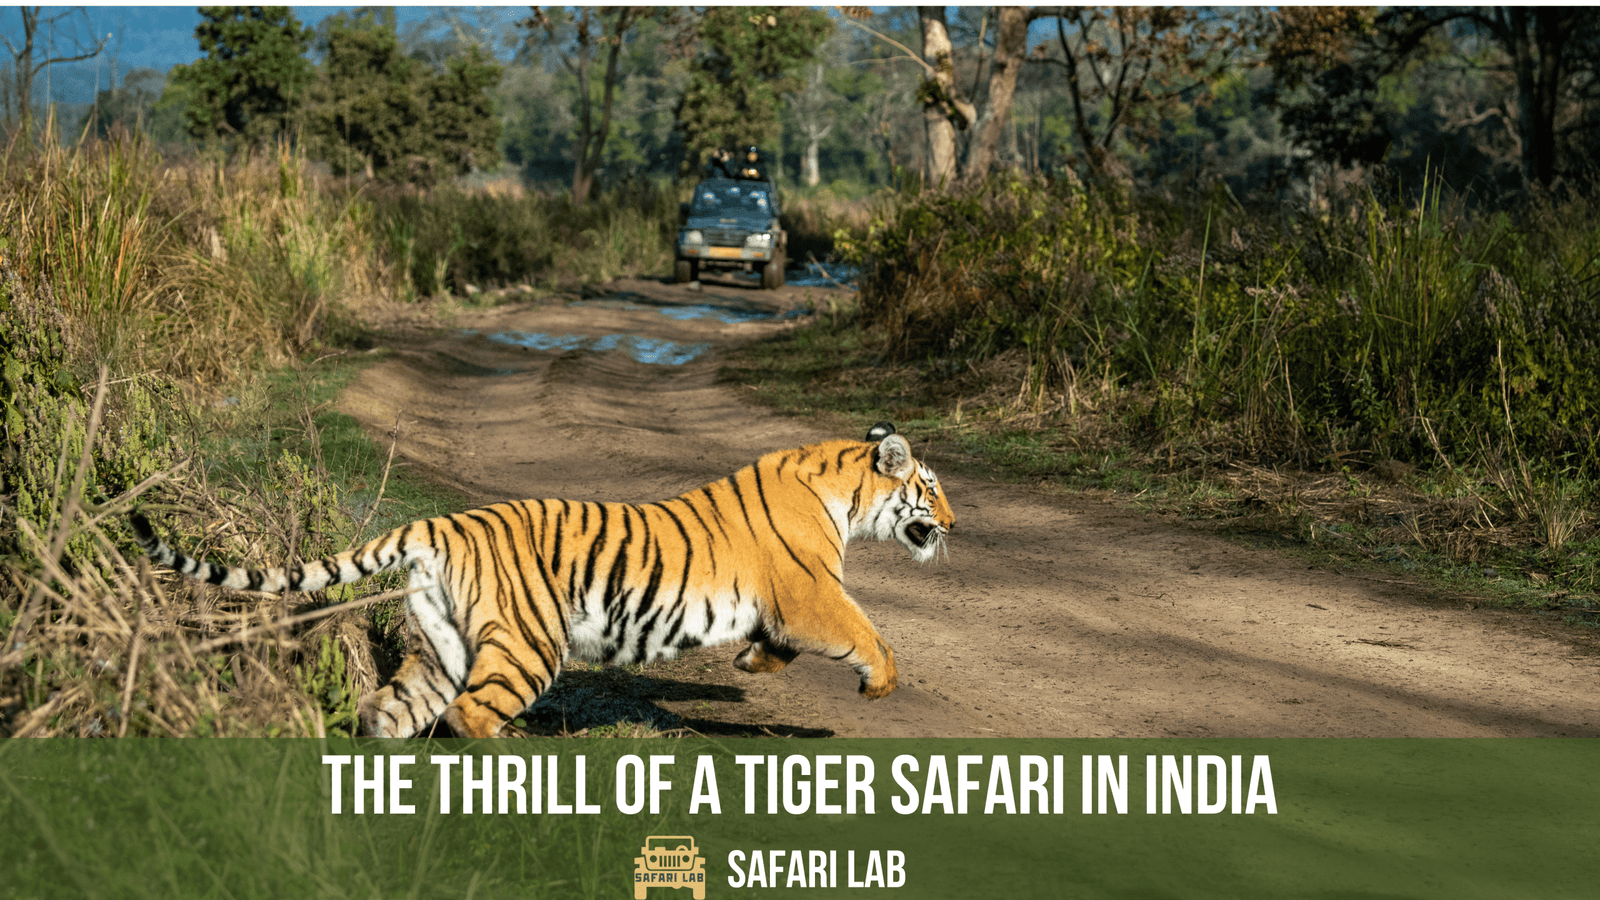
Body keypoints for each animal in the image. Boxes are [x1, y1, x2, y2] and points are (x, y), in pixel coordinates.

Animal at [130, 422, 954, 738]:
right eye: (931, 488)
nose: (952, 523)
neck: (846, 490)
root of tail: (439, 525)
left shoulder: (785, 606)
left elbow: (779, 644)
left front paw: (753, 663)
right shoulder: (811, 591)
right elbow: (866, 632)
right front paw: (880, 685)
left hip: (444, 647)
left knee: (386, 710)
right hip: (529, 643)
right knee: (471, 714)